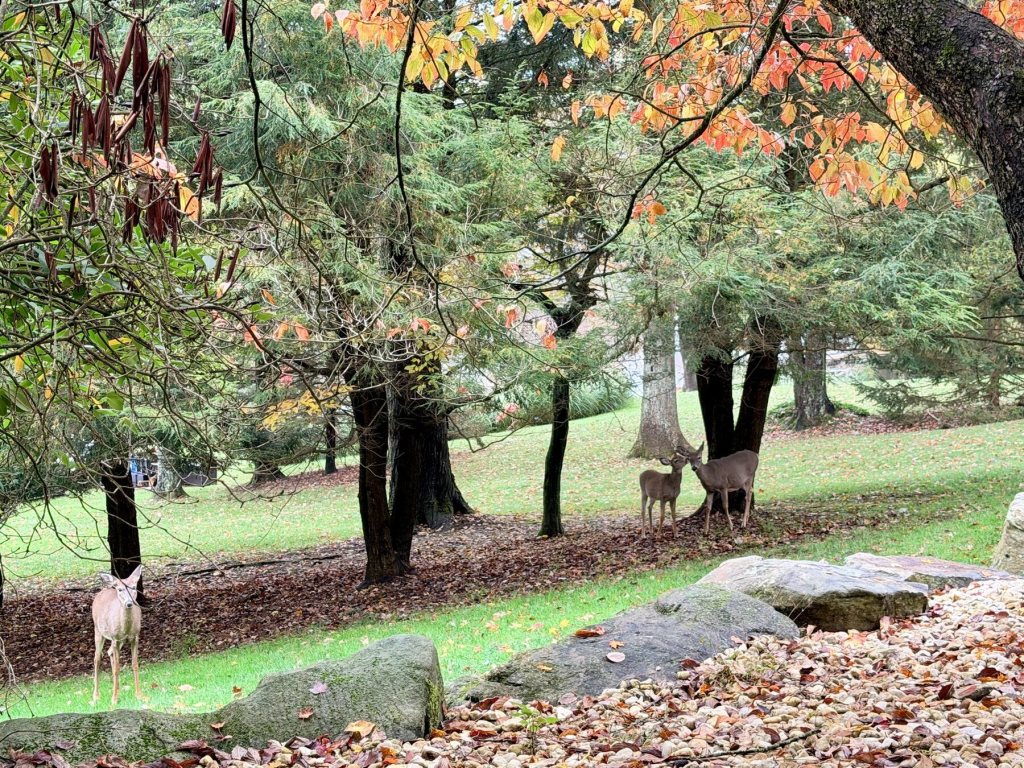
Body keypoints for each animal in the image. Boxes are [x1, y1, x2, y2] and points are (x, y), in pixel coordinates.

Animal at [91, 565, 142, 707]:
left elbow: (135, 664)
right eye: (120, 589)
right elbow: (116, 669)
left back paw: (117, 689)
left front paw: (139, 695)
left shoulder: (135, 637)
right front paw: (114, 700)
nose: (129, 603)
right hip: (98, 630)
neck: (126, 628)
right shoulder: (114, 638)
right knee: (97, 658)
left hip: (120, 641)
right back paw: (96, 696)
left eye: (134, 587)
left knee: (109, 652)